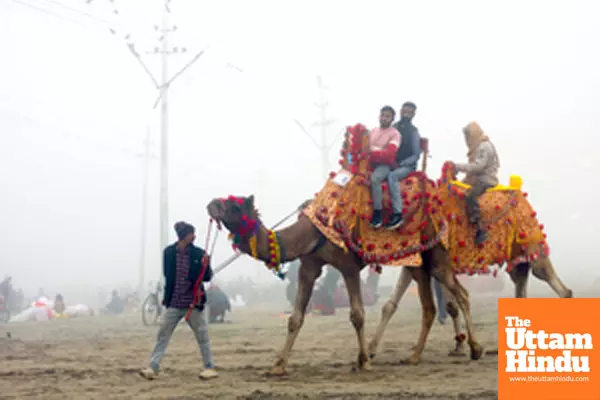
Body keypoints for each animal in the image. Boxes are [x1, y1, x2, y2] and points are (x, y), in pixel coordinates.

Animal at [206, 122, 482, 376]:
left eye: (235, 205)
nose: (211, 204)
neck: (316, 227)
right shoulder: (309, 266)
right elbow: (295, 317)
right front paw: (278, 365)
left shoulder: (348, 266)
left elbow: (357, 314)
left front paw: (364, 361)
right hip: (416, 261)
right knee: (429, 306)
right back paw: (414, 357)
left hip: (436, 252)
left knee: (461, 293)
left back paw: (475, 349)